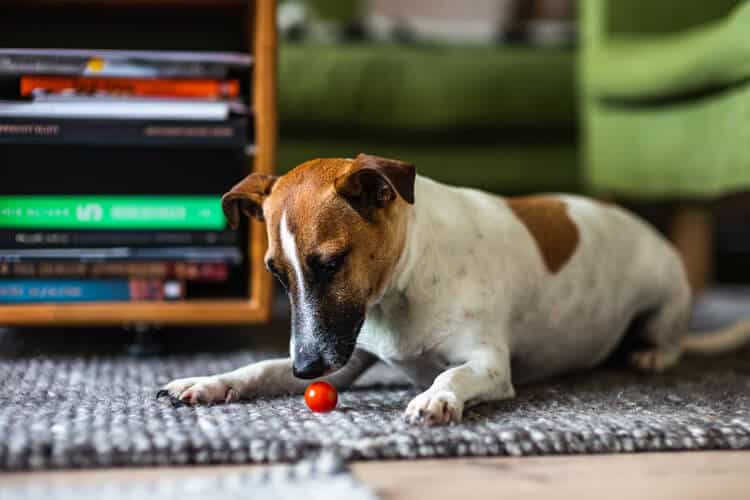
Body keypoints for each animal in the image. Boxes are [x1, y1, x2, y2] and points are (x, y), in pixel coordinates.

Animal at [162, 153, 750, 426]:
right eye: (277, 274)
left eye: (330, 263)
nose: (306, 370)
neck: (404, 283)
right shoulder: (345, 358)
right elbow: (258, 369)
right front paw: (208, 382)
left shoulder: (487, 364)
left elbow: (453, 373)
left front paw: (437, 397)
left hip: (666, 303)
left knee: (667, 340)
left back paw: (651, 354)